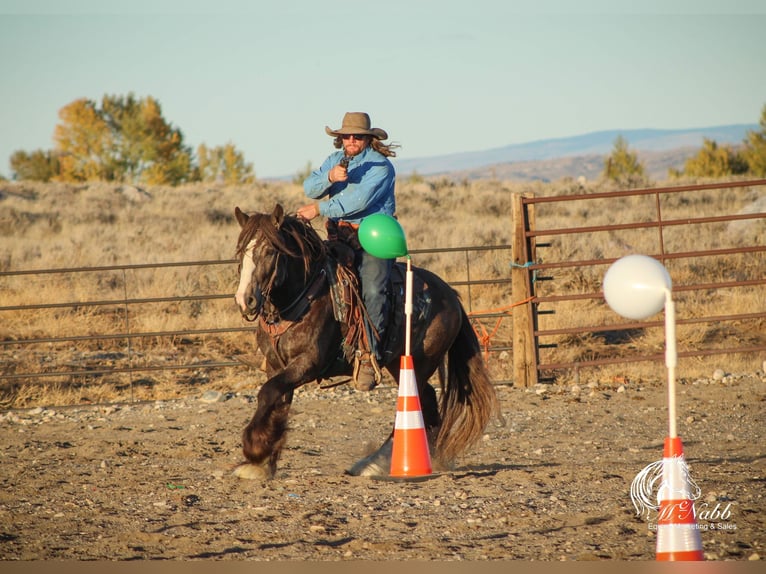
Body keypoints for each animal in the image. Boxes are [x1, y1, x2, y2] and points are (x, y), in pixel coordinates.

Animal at [231, 205, 500, 480]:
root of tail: (451, 295)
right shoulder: (277, 366)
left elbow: (268, 393)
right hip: (401, 362)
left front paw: (253, 449)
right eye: (240, 252)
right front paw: (262, 461)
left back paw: (375, 463)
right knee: (428, 402)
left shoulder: (308, 363)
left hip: (420, 361)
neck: (302, 297)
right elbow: (278, 402)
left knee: (417, 404)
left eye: (269, 251)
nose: (245, 300)